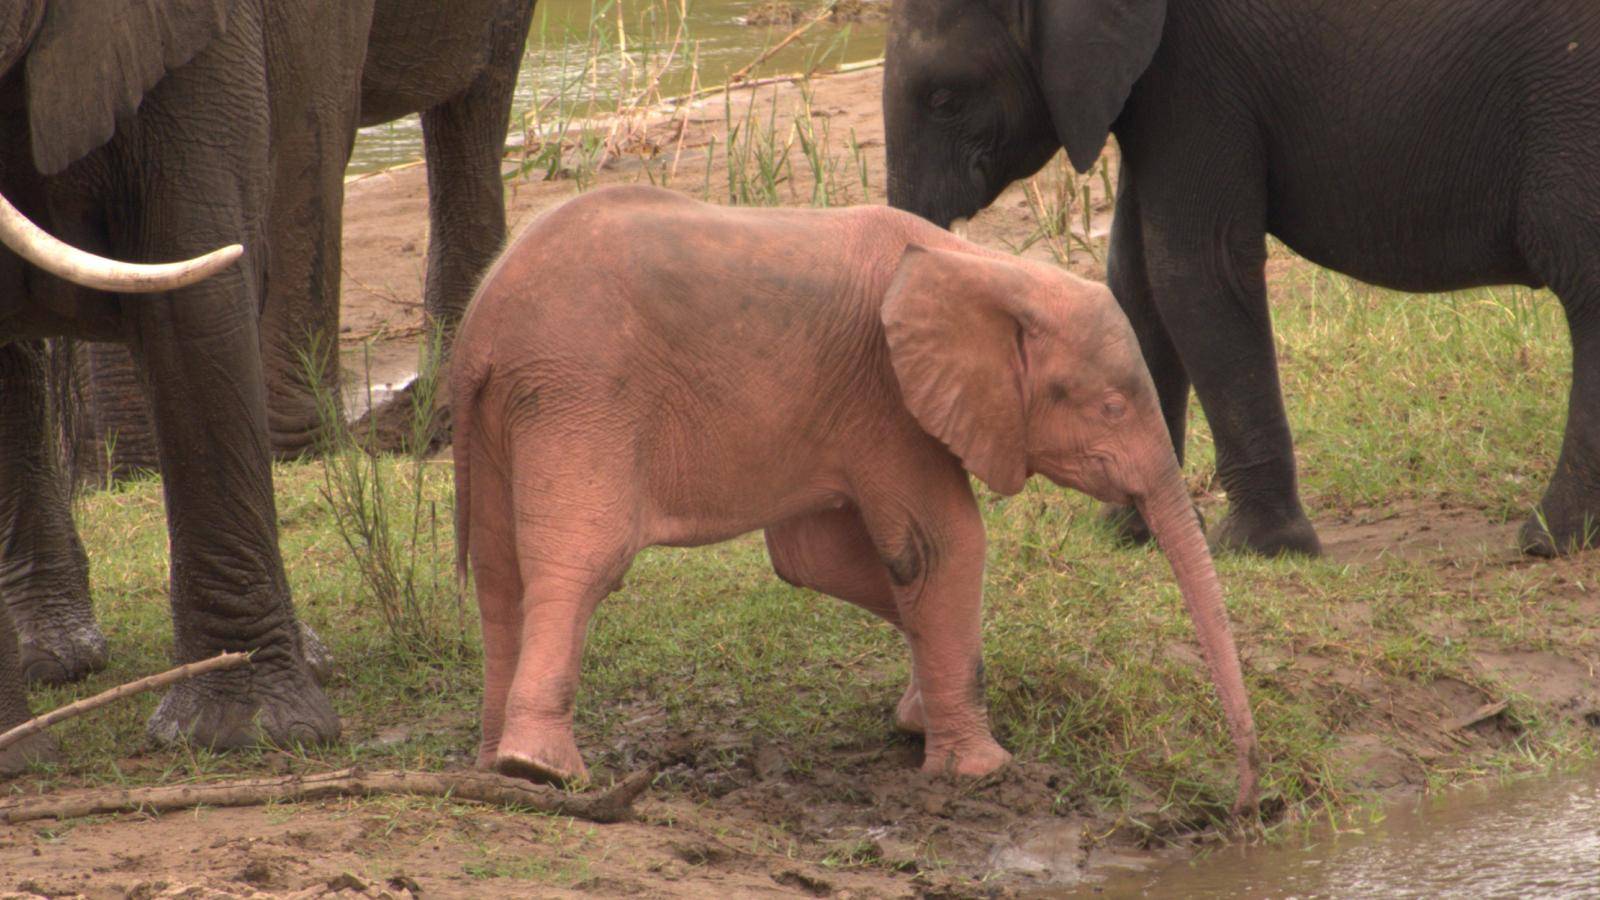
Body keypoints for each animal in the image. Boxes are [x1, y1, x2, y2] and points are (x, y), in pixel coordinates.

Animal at [454, 184, 1260, 813]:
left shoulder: (846, 408)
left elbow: (817, 560)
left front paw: (916, 722)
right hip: (581, 396)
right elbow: (942, 546)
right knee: (581, 561)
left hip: (512, 415)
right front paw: (980, 773)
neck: (986, 269)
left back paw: (495, 768)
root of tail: (477, 331)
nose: (1253, 797)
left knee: (497, 573)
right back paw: (543, 771)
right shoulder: (888, 397)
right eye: (1112, 409)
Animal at [883, 0, 1600, 557]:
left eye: (945, 99)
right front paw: (1132, 535)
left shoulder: (1197, 74)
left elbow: (1193, 269)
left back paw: (1547, 541)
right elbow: (1135, 281)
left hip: (1572, 102)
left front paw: (1255, 549)